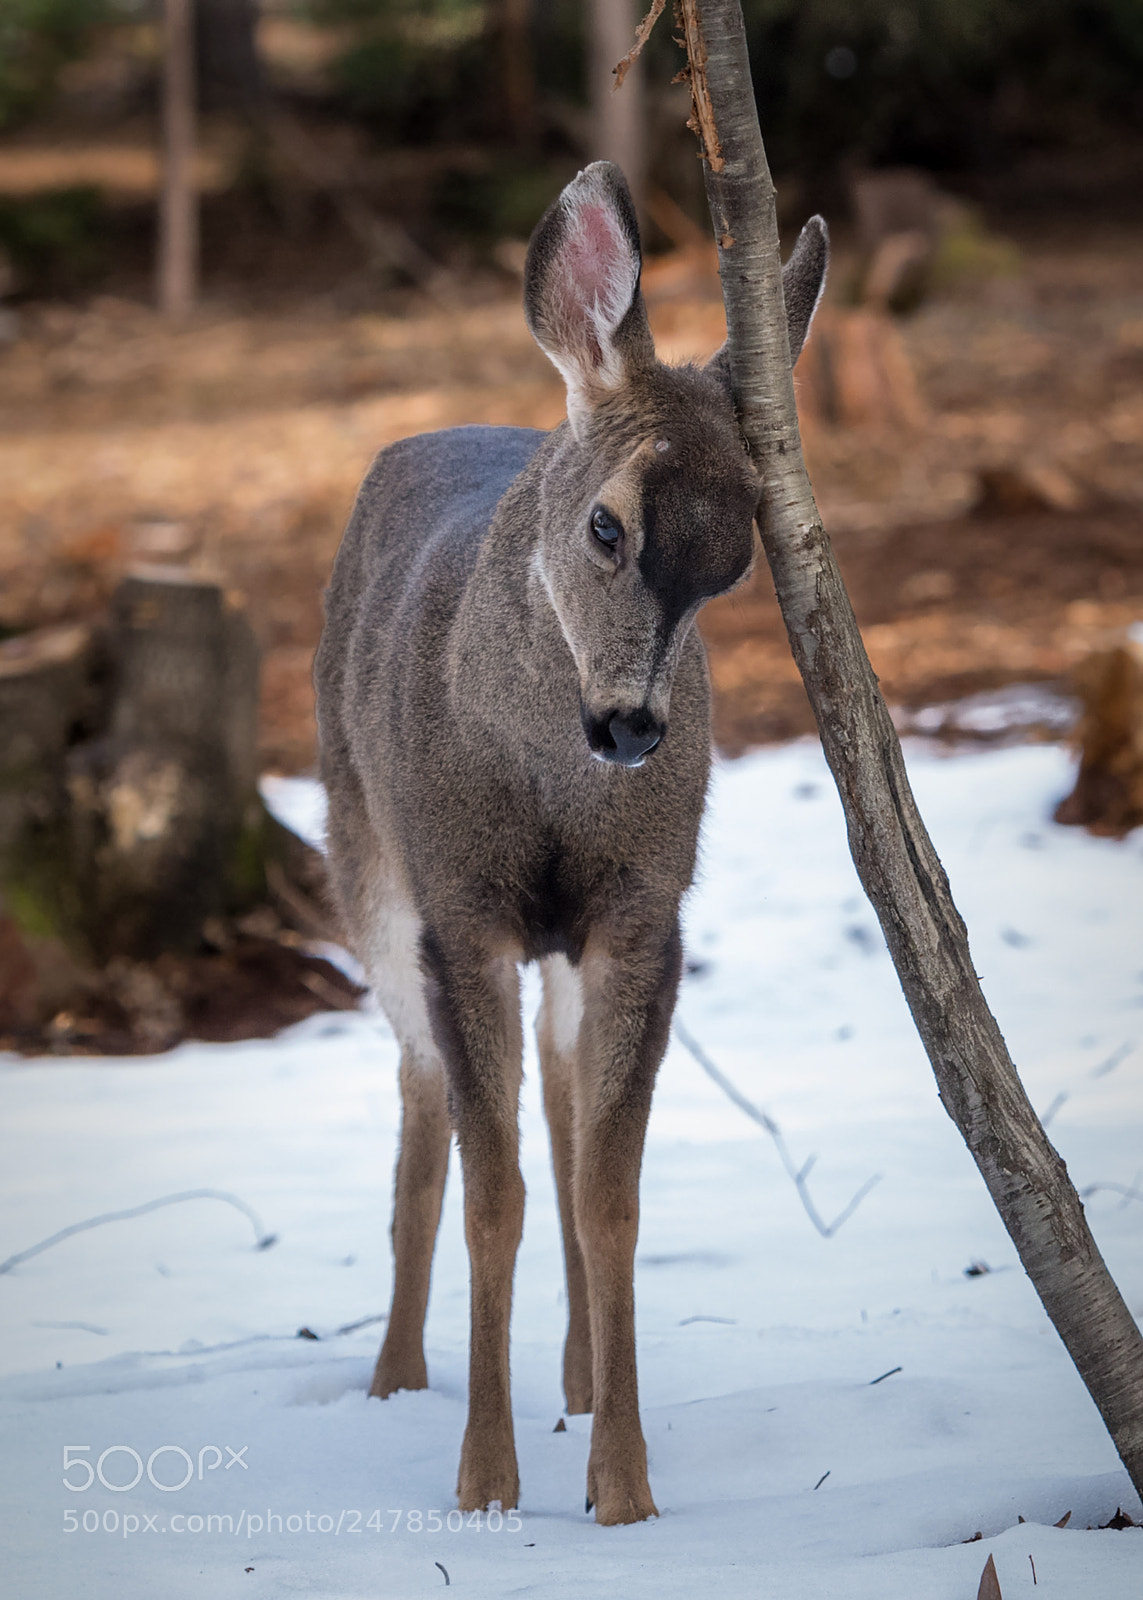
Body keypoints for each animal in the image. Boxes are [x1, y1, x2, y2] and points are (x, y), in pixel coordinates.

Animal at [314, 161, 827, 1526]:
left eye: (734, 561)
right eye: (608, 527)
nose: (634, 727)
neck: (549, 783)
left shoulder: (646, 909)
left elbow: (611, 1195)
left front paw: (624, 1485)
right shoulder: (463, 907)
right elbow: (492, 1195)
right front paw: (485, 1483)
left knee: (549, 1092)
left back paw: (583, 1377)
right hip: (363, 857)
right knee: (420, 1090)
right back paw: (395, 1375)